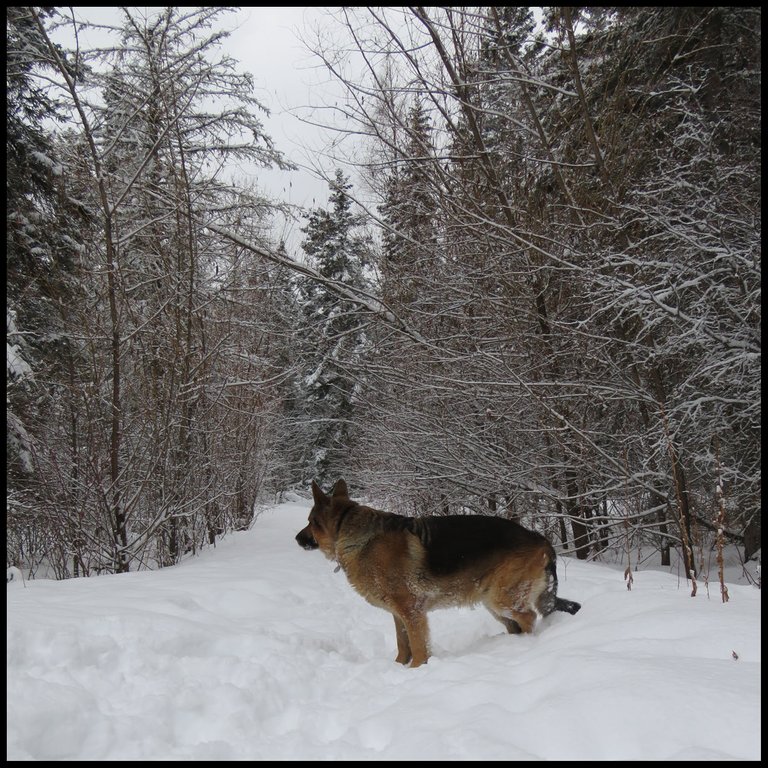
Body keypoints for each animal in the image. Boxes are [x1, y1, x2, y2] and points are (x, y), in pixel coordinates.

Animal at [296, 480, 580, 664]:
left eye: (310, 522)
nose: (297, 539)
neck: (351, 531)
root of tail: (541, 539)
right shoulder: (399, 614)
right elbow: (402, 645)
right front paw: (398, 668)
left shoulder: (412, 612)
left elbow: (418, 648)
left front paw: (416, 670)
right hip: (492, 601)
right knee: (516, 624)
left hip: (501, 597)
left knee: (529, 618)